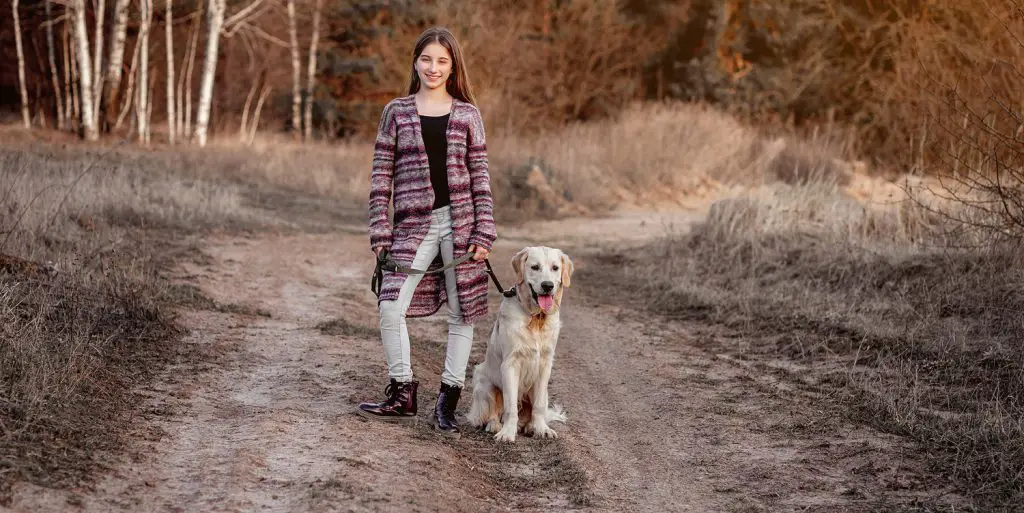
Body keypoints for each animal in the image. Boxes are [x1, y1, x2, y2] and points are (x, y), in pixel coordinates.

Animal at [468, 243, 573, 440]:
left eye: (555, 268)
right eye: (535, 267)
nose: (547, 285)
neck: (536, 318)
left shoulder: (545, 365)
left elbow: (538, 406)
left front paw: (541, 429)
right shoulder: (510, 364)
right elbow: (510, 407)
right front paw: (507, 433)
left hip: (544, 391)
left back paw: (531, 426)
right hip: (483, 381)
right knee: (493, 412)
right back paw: (495, 425)